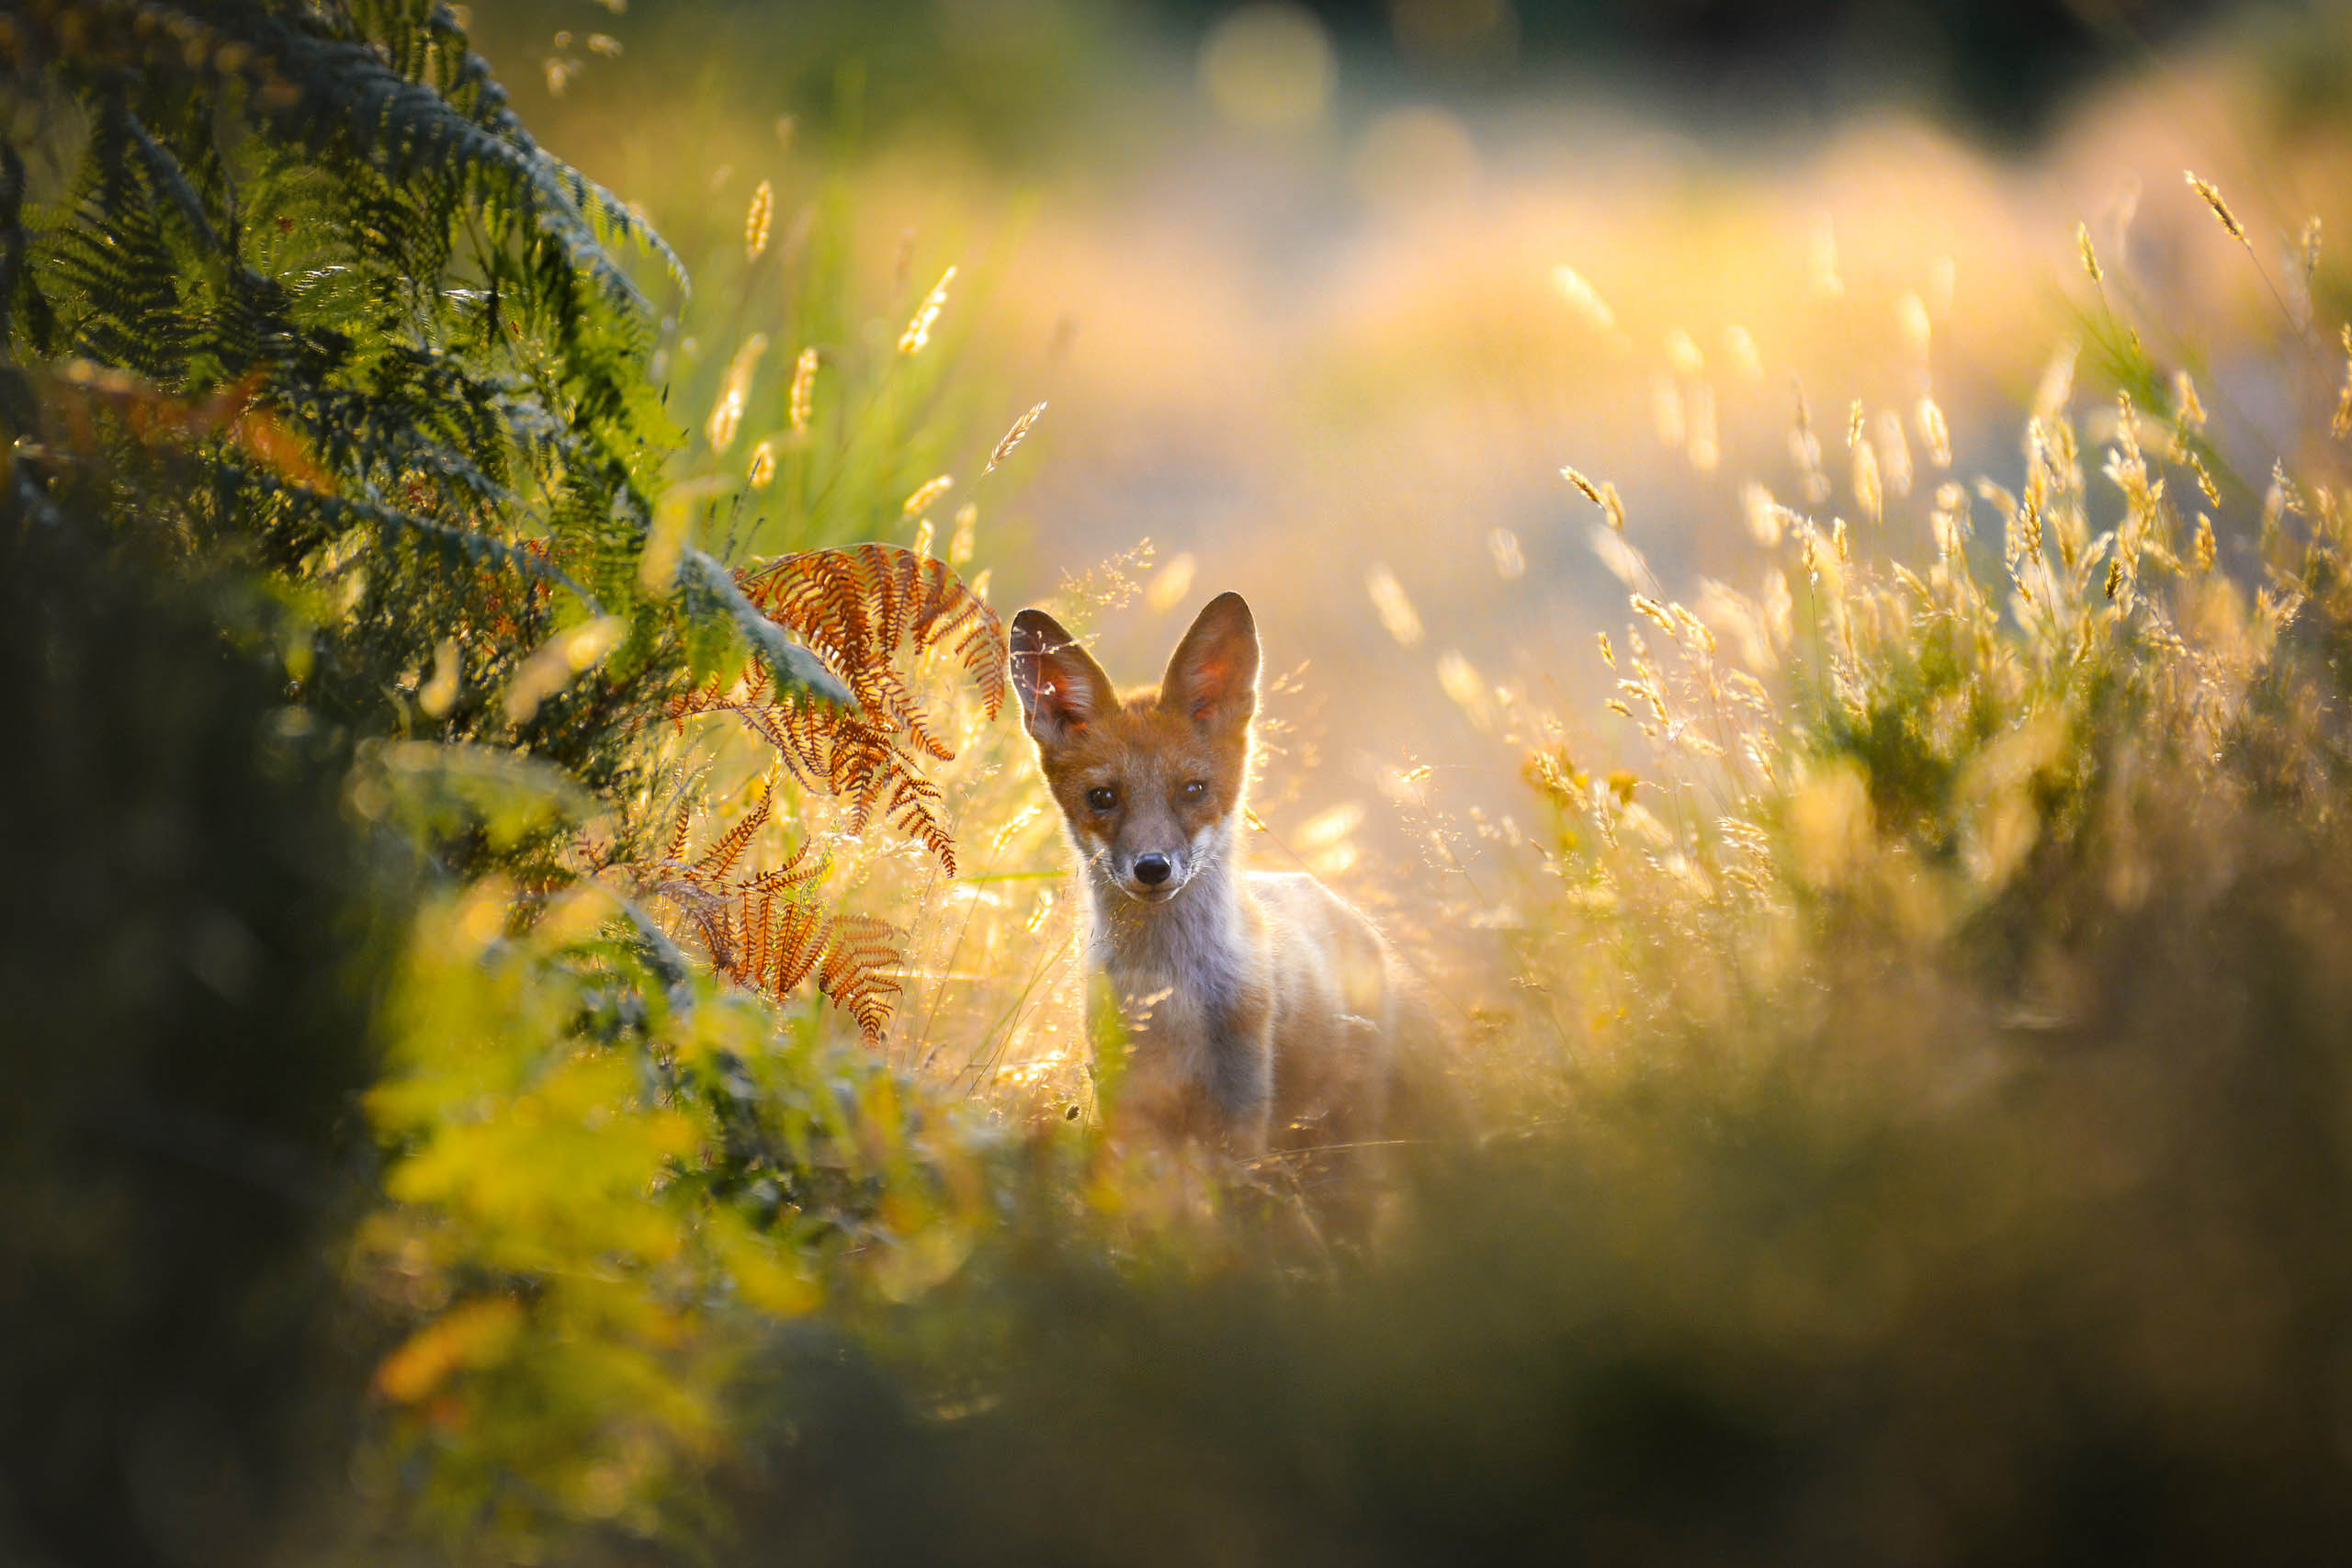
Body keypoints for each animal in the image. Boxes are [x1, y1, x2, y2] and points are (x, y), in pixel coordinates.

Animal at [1009, 591, 1425, 1167]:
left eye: (1192, 789)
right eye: (1102, 797)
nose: (1153, 867)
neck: (1170, 993)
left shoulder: (1241, 1113)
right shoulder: (1129, 1113)